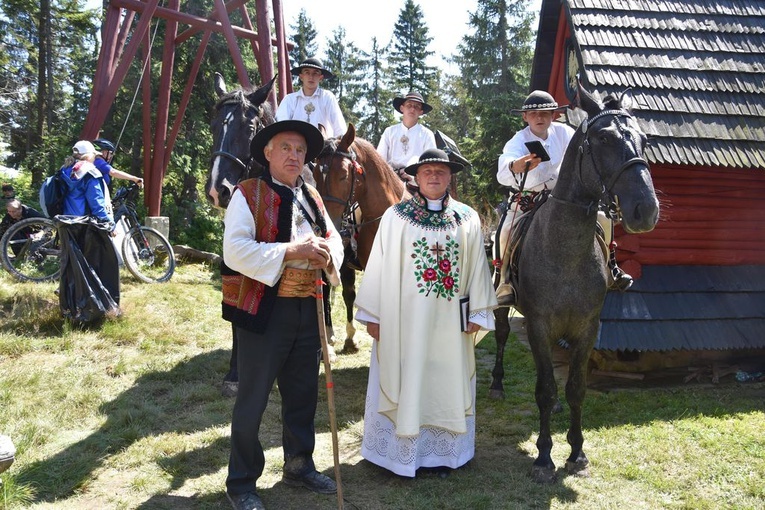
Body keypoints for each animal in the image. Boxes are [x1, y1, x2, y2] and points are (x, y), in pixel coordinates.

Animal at [492, 83, 660, 482]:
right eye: (603, 137)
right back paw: (496, 384)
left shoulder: (587, 327)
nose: (645, 210)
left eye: (644, 139)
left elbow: (575, 389)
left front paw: (577, 452)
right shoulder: (538, 324)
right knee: (503, 335)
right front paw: (543, 457)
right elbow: (544, 390)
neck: (564, 249)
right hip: (502, 306)